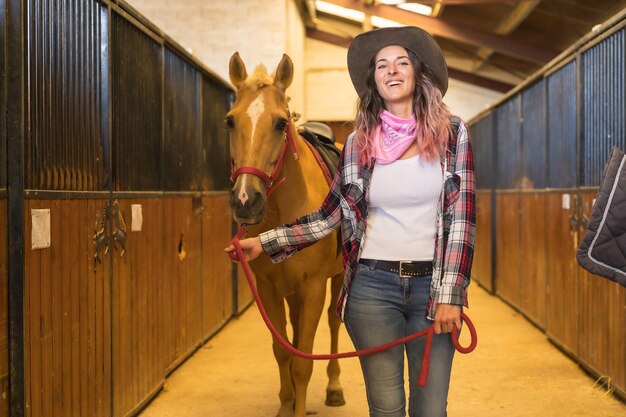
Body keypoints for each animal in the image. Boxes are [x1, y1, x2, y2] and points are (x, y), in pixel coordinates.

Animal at [224, 52, 344, 416]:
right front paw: (285, 406)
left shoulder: (314, 288)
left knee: (334, 323)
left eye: (280, 123)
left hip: (336, 279)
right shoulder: (268, 289)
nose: (245, 200)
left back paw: (335, 387)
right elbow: (283, 352)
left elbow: (303, 363)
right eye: (230, 121)